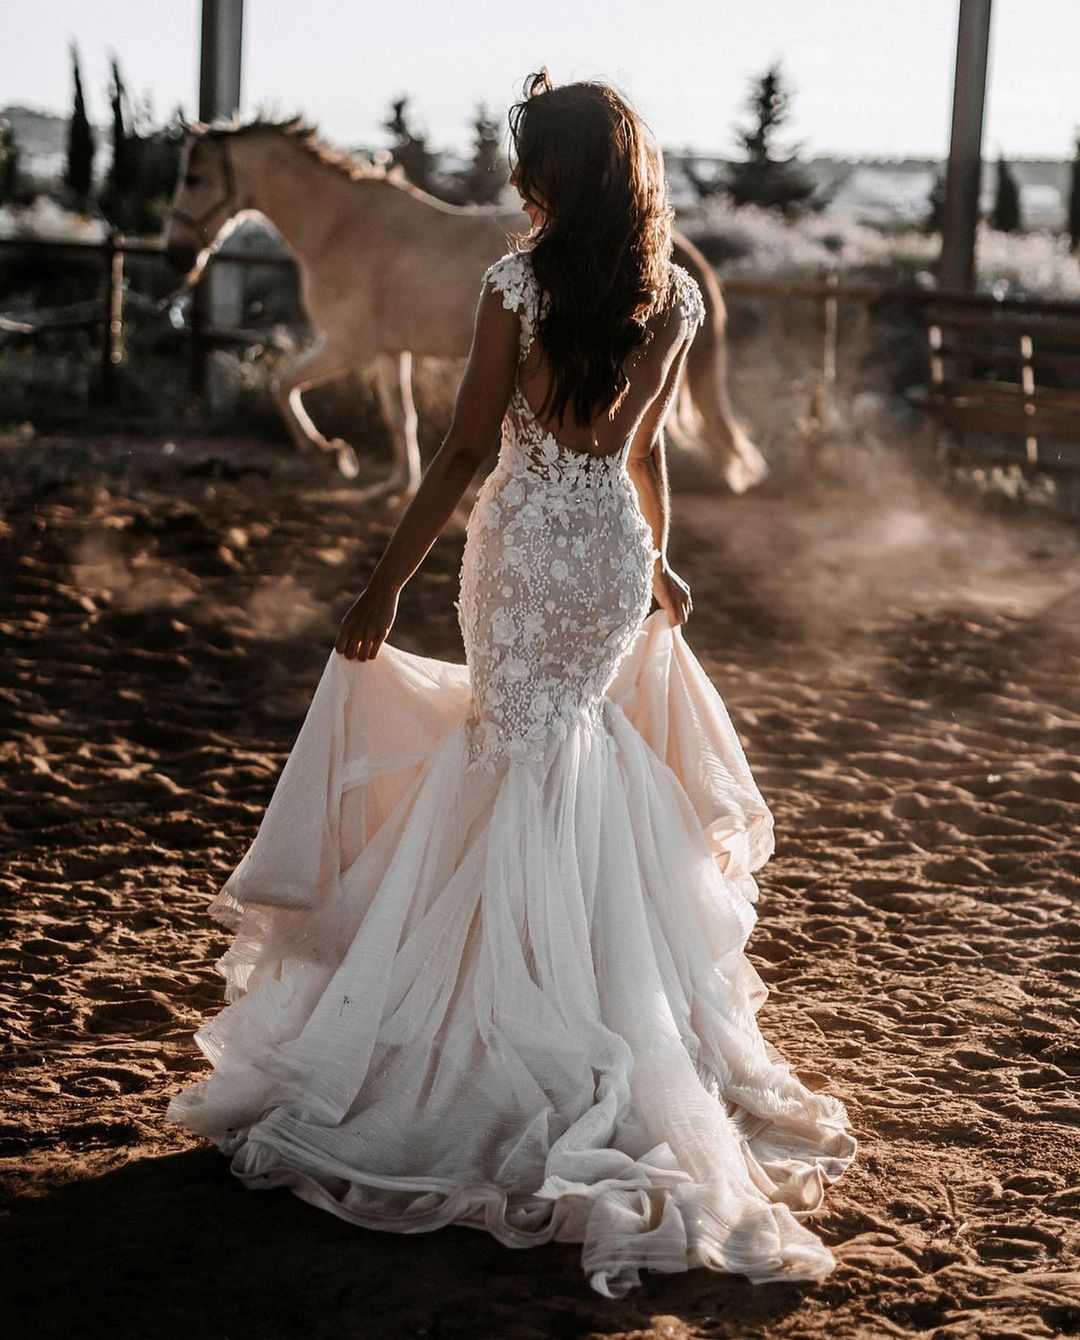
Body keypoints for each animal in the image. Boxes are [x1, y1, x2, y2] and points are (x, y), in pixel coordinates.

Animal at [164, 113, 766, 503]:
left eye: (194, 178)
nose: (176, 256)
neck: (342, 228)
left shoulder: (347, 344)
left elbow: (282, 385)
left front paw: (331, 455)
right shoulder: (388, 351)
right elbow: (399, 416)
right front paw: (396, 486)